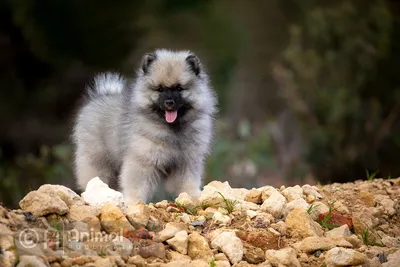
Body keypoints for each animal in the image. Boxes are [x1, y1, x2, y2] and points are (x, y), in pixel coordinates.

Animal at [70, 49, 217, 205]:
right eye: (160, 89)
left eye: (179, 88)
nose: (169, 102)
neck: (172, 129)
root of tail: (99, 97)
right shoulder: (142, 161)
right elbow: (136, 185)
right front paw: (133, 202)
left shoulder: (187, 161)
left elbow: (188, 183)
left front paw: (194, 197)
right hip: (98, 162)